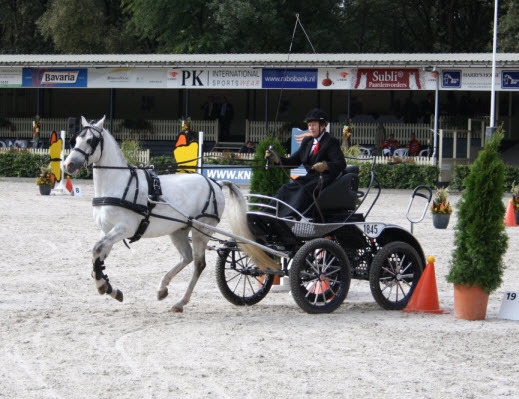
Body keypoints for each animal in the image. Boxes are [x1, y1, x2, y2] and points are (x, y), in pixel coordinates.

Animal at [64, 115, 276, 312]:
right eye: (75, 140)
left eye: (91, 140)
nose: (68, 165)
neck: (118, 184)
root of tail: (215, 183)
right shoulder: (107, 230)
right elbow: (99, 256)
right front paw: (110, 288)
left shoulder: (123, 228)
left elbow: (97, 250)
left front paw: (103, 287)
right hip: (179, 230)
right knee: (186, 257)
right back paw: (162, 289)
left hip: (201, 229)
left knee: (199, 264)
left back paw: (181, 302)